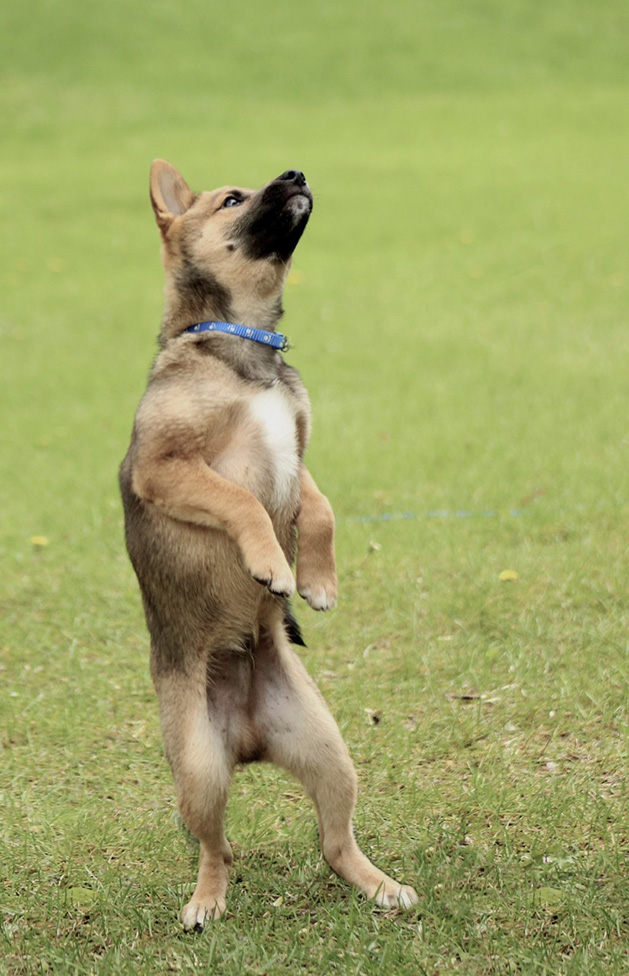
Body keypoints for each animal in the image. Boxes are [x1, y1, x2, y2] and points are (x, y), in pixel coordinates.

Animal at [119, 160, 420, 932]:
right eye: (231, 199)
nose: (296, 171)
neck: (245, 346)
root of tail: (247, 737)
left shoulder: (298, 454)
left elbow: (318, 506)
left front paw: (316, 579)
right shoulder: (169, 468)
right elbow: (246, 502)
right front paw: (272, 567)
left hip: (329, 753)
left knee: (333, 842)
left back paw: (379, 885)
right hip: (198, 772)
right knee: (214, 848)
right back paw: (205, 902)